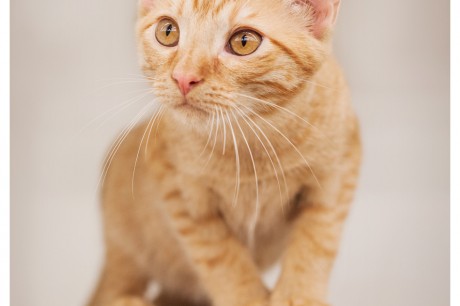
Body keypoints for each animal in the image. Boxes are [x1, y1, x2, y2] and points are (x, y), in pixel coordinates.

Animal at [88, 0, 362, 306]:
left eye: (244, 42)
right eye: (168, 32)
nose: (183, 78)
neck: (251, 138)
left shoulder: (340, 171)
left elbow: (316, 242)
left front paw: (299, 296)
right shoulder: (178, 190)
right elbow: (222, 258)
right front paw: (249, 298)